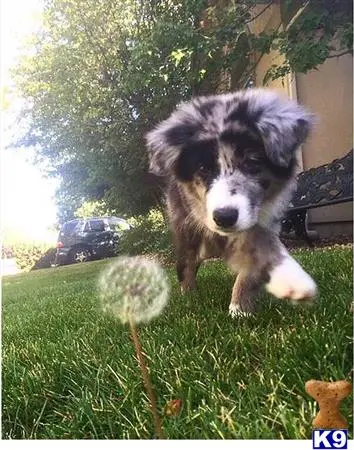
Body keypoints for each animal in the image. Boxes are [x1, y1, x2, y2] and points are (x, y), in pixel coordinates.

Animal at [145, 89, 316, 316]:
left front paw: (240, 307)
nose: (224, 217)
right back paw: (189, 295)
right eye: (203, 169)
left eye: (252, 163)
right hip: (189, 230)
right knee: (188, 261)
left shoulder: (266, 217)